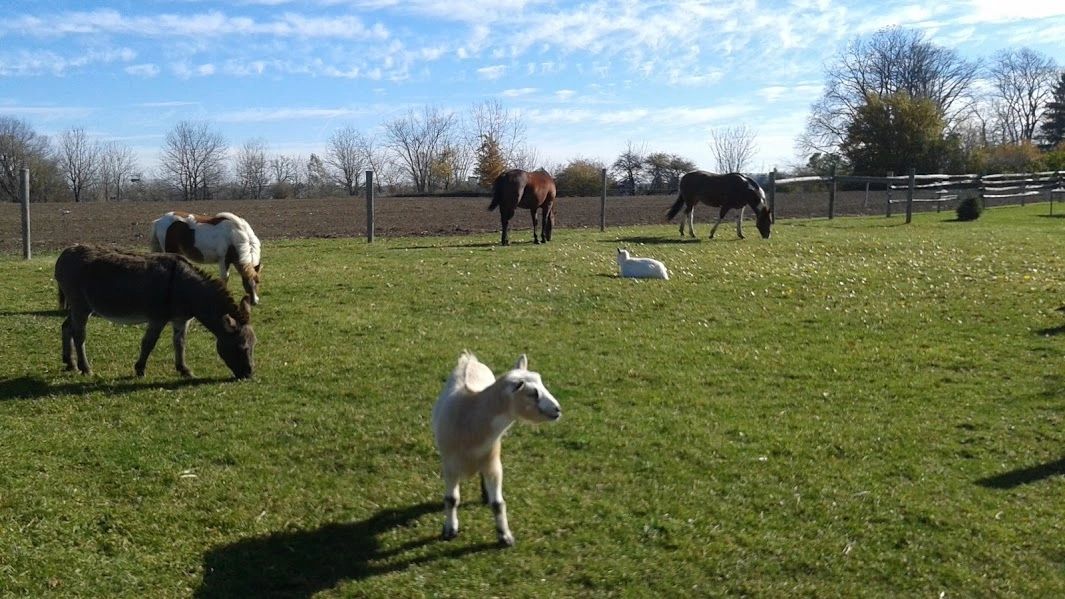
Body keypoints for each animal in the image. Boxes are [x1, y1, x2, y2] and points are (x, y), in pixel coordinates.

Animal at [54, 245, 256, 379]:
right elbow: (149, 343)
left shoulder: (181, 320)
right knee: (79, 334)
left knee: (66, 327)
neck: (185, 287)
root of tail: (66, 252)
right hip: (80, 305)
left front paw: (184, 369)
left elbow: (180, 343)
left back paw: (70, 363)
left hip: (78, 307)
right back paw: (85, 368)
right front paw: (140, 369)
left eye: (254, 346)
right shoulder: (157, 318)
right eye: (242, 348)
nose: (248, 375)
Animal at [431, 351, 561, 547]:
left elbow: (498, 504)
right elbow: (451, 499)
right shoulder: (449, 465)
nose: (557, 409)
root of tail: (469, 359)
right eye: (532, 393)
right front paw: (450, 530)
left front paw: (505, 536)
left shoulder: (493, 463)